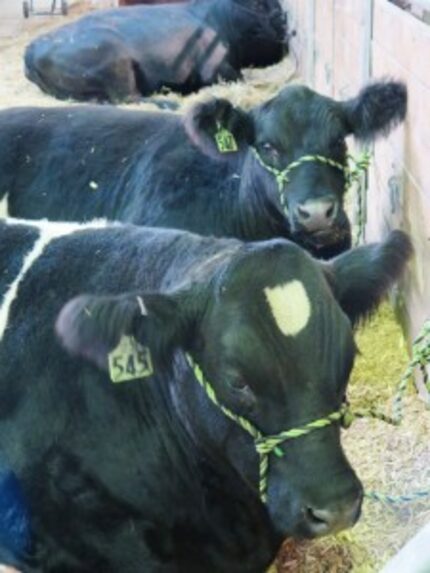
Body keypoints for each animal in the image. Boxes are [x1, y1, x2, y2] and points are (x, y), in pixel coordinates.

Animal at [22, 0, 286, 103]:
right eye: (262, 6)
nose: (283, 22)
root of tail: (31, 49)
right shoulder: (217, 69)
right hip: (115, 59)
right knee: (130, 97)